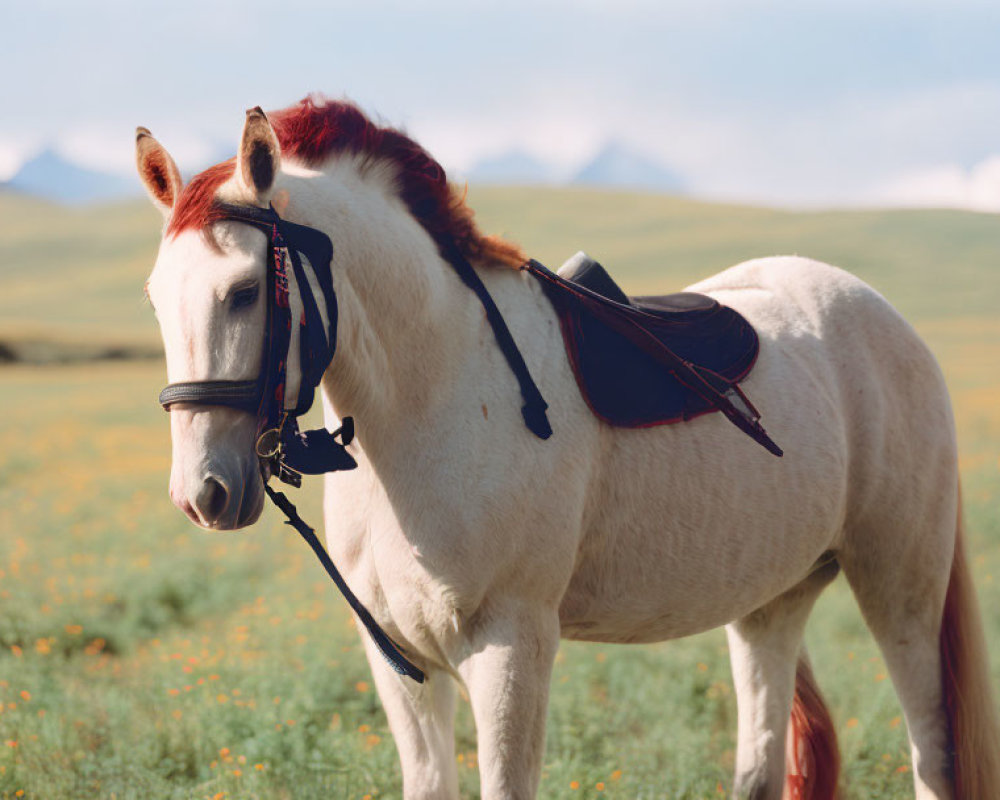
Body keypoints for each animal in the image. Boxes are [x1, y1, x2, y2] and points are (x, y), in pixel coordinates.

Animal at [137, 100, 996, 800]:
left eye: (246, 291)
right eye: (154, 296)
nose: (204, 492)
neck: (434, 390)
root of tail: (883, 318)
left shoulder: (511, 647)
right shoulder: (401, 665)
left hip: (900, 588)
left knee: (932, 752)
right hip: (770, 604)